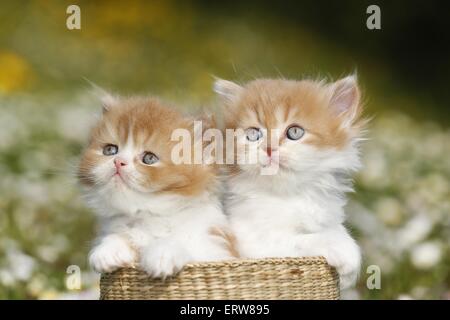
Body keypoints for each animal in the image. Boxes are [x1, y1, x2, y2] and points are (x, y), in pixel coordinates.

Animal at [78, 95, 236, 278]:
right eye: (110, 150)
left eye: (149, 158)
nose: (118, 162)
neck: (148, 216)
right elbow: (119, 236)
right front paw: (107, 251)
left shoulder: (215, 247)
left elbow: (184, 244)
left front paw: (163, 255)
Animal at [214, 76, 366, 288]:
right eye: (253, 134)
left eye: (294, 132)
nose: (269, 148)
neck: (287, 195)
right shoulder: (250, 242)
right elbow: (299, 239)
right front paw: (344, 251)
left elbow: (334, 228)